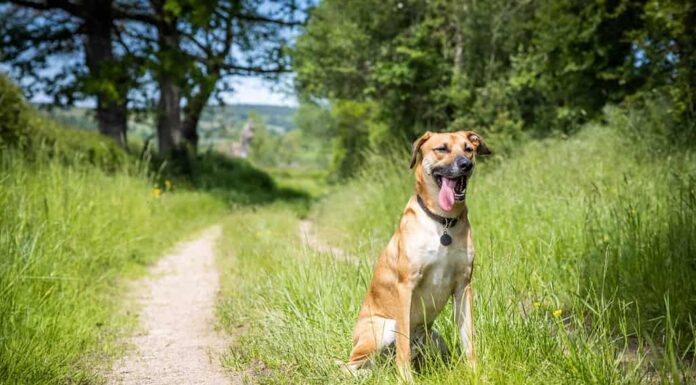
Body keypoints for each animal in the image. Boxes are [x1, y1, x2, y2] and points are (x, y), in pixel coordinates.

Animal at [342, 130, 490, 380]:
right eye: (442, 148)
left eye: (468, 149)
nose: (466, 165)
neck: (443, 222)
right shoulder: (406, 286)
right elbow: (403, 347)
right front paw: (406, 379)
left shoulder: (464, 286)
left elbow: (468, 338)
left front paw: (474, 373)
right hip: (382, 329)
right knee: (348, 366)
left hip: (434, 338)